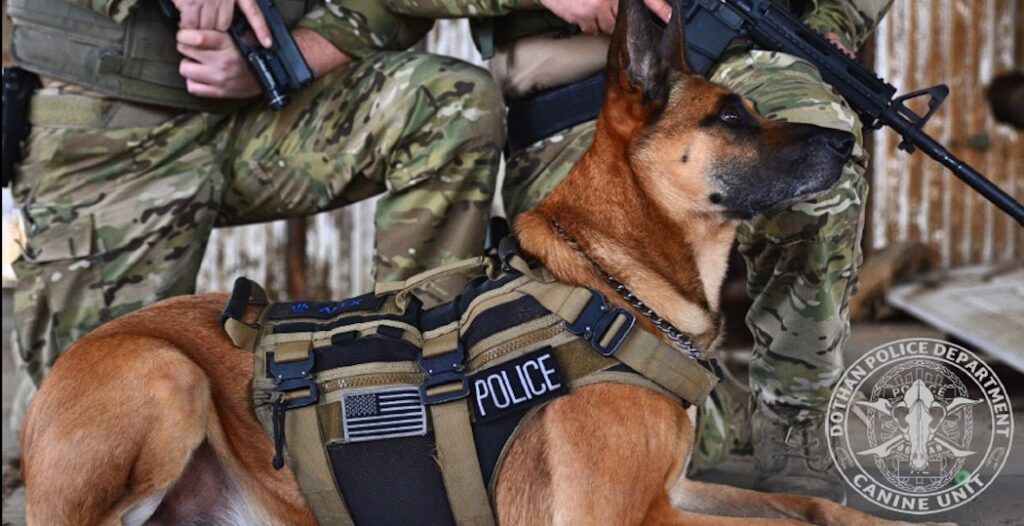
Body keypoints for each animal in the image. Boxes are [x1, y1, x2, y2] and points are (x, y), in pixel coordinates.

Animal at [19, 2, 937, 521]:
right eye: (732, 117)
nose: (845, 142)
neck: (611, 285)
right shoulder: (624, 514)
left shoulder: (675, 489)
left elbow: (806, 505)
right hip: (164, 378)